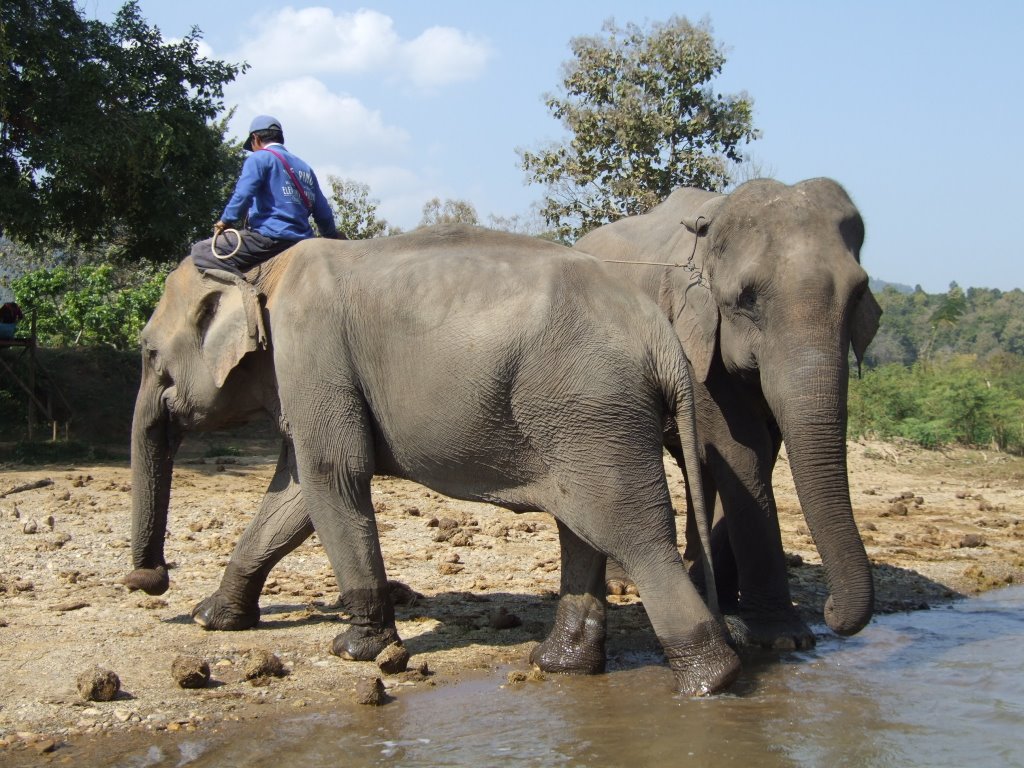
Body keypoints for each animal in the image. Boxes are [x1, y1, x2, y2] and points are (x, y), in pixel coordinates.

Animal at [125, 227, 745, 696]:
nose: (148, 580)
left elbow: (333, 478)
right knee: (584, 531)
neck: (260, 271)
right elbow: (295, 493)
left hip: (593, 408)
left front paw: (355, 649)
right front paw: (212, 617)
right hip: (581, 420)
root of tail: (663, 338)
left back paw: (708, 682)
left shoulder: (313, 349)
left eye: (149, 354)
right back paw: (560, 665)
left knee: (635, 538)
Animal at [577, 179, 880, 651]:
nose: (831, 610)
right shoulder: (691, 336)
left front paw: (733, 609)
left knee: (695, 465)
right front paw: (782, 639)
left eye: (860, 293)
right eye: (746, 299)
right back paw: (621, 584)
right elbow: (742, 450)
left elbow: (756, 453)